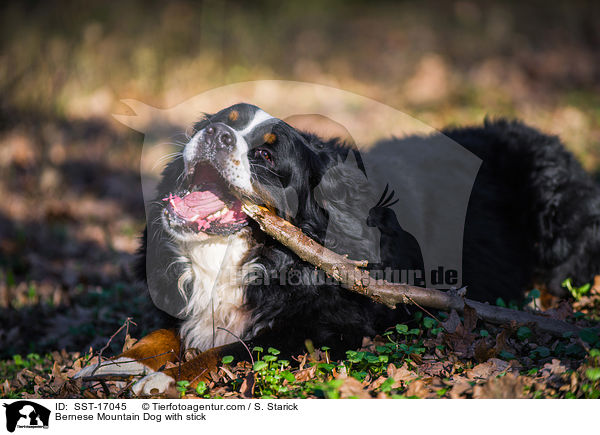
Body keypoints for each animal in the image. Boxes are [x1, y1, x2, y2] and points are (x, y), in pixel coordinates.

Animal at [76, 102, 600, 396]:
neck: (251, 256)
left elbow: (229, 348)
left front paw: (165, 379)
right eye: (221, 122)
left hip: (554, 205)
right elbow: (164, 333)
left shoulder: (327, 329)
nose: (215, 135)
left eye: (265, 155)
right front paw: (116, 361)